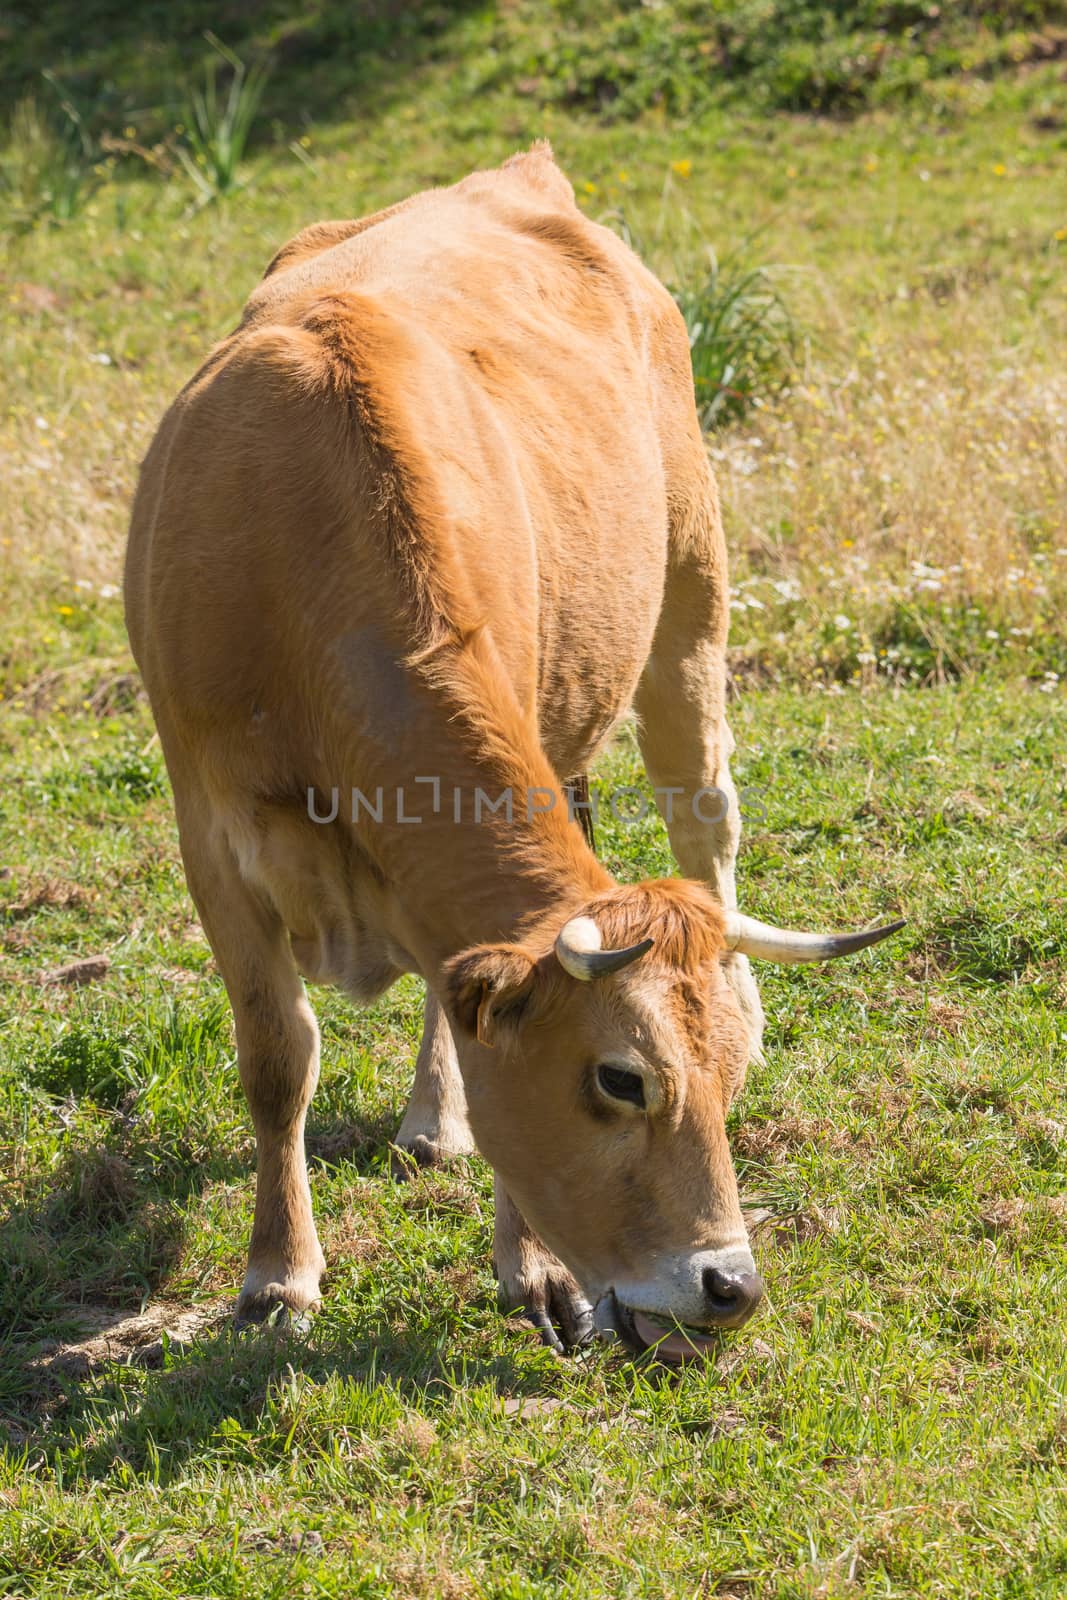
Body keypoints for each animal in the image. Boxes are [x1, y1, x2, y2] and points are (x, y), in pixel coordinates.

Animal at [125, 147, 902, 1363]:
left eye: (722, 1079)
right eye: (620, 1079)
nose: (730, 1286)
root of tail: (520, 173)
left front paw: (531, 1267)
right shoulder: (208, 833)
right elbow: (278, 1058)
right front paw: (279, 1275)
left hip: (690, 597)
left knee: (704, 811)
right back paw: (432, 1118)